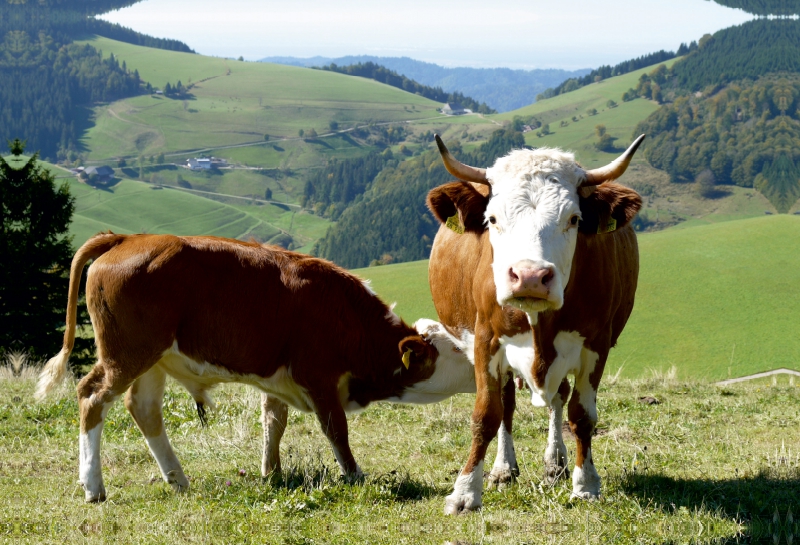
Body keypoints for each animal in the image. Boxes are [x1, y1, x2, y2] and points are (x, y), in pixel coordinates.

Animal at [36, 234, 476, 502]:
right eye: (456, 351)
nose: (481, 365)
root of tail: (128, 237)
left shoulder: (280, 379)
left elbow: (273, 422)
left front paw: (272, 474)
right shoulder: (318, 375)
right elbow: (336, 429)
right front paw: (355, 476)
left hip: (152, 360)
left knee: (143, 409)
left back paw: (177, 479)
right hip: (126, 354)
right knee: (91, 396)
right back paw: (94, 487)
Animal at [424, 134, 644, 512]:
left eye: (574, 219)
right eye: (492, 219)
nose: (529, 277)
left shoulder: (596, 344)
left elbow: (582, 416)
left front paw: (585, 484)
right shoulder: (485, 339)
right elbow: (487, 414)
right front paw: (465, 491)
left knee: (558, 399)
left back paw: (555, 463)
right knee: (508, 404)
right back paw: (503, 469)